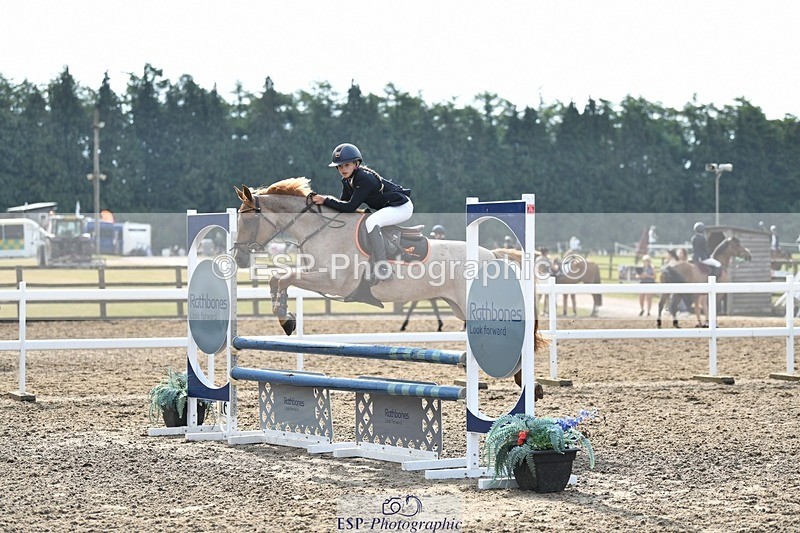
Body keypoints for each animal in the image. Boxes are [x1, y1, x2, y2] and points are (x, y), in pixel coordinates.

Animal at [232, 179, 548, 368]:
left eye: (247, 220)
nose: (239, 258)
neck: (319, 229)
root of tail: (492, 255)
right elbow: (277, 277)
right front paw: (284, 318)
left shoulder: (332, 281)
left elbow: (284, 276)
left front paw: (284, 317)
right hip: (461, 308)